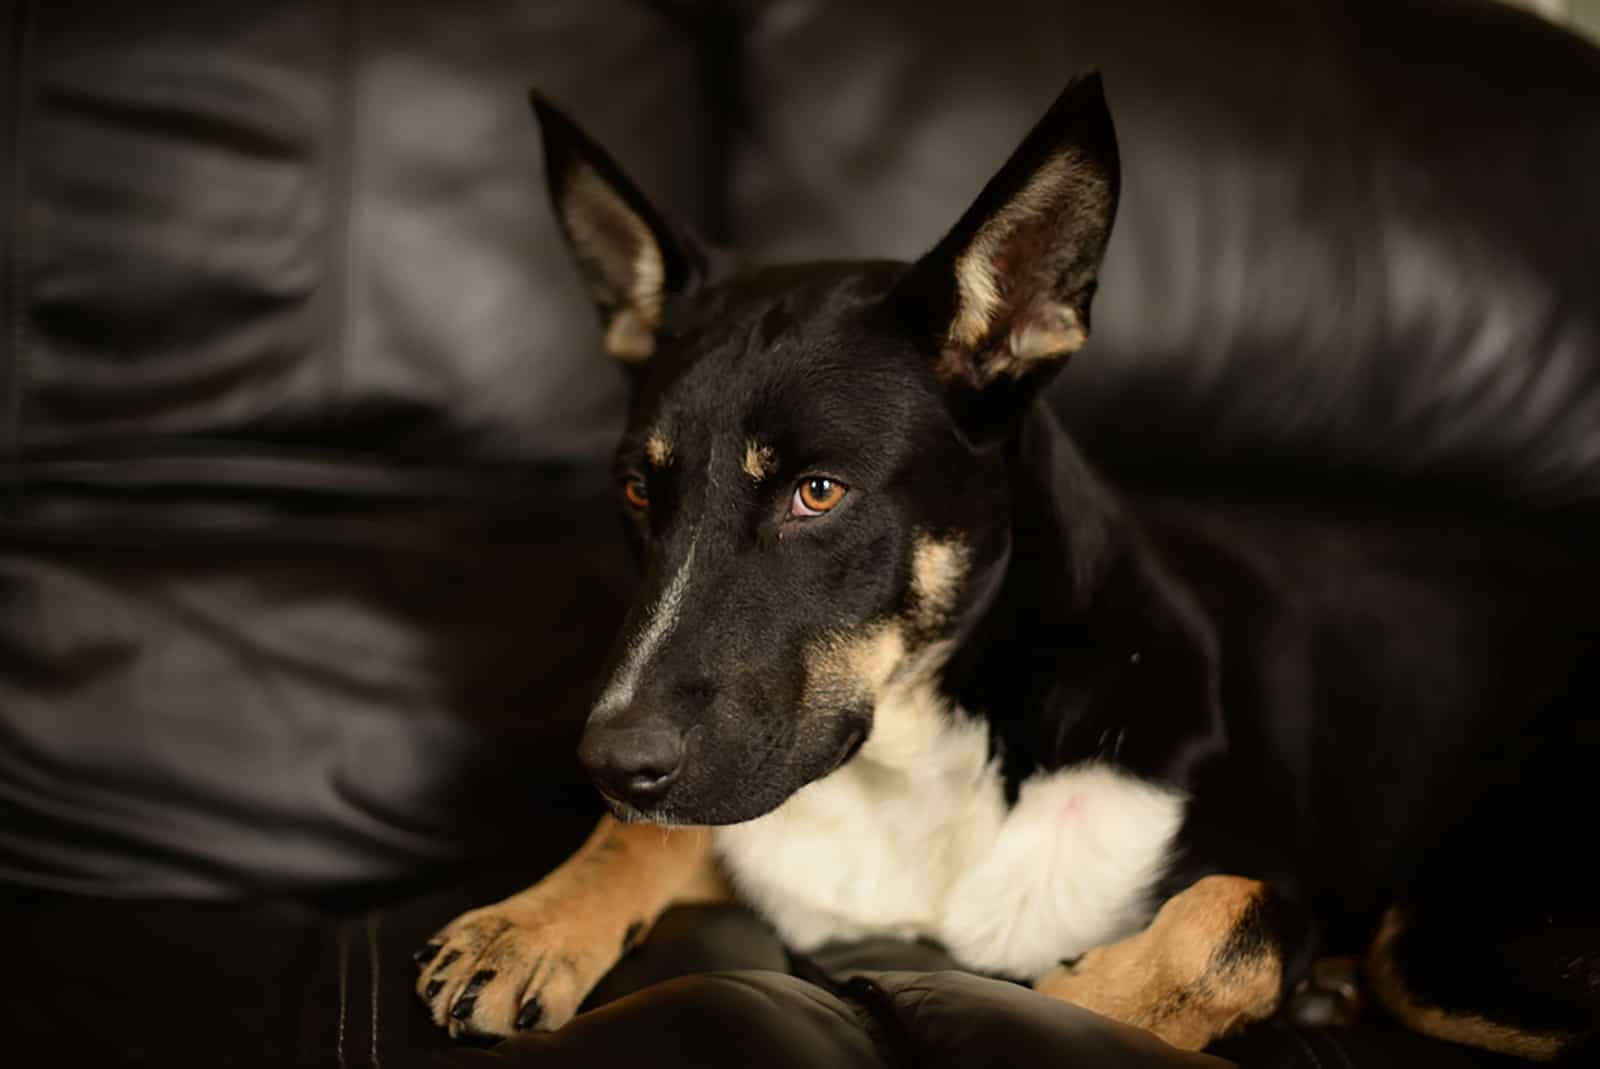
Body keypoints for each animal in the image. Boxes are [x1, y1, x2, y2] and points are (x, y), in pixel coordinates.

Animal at [416, 75, 1600, 1062]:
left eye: (817, 493)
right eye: (635, 492)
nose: (609, 764)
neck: (930, 750)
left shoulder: (1249, 877)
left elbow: (1227, 920)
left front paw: (1081, 995)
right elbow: (658, 836)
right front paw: (526, 922)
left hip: (1461, 927)